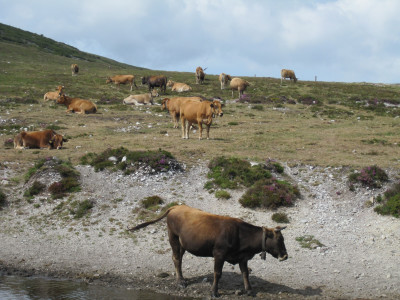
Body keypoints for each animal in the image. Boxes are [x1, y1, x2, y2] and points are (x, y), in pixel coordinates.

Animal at [130, 204, 290, 298]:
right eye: (279, 240)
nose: (285, 255)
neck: (240, 234)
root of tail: (176, 206)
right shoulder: (219, 254)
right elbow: (217, 273)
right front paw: (214, 291)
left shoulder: (242, 257)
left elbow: (245, 273)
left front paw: (249, 290)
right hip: (173, 237)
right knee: (176, 258)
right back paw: (180, 281)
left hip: (183, 243)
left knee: (178, 259)